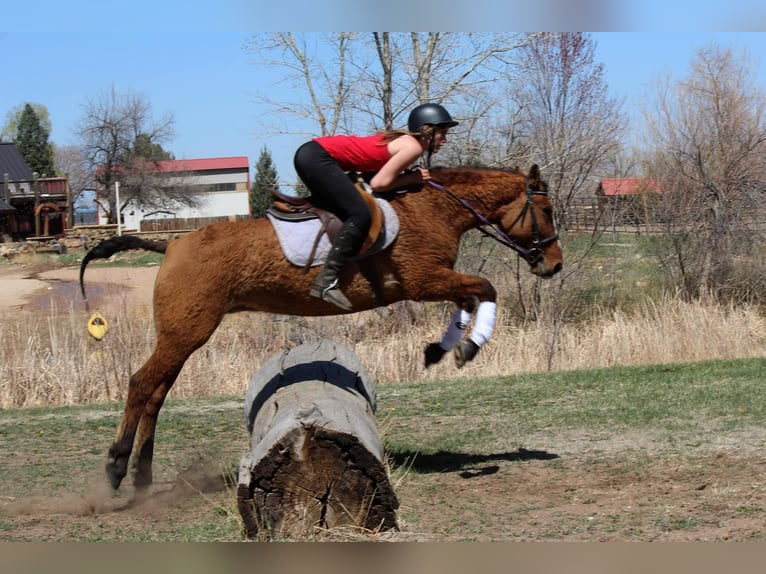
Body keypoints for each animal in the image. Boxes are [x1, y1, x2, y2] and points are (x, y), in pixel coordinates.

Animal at [79, 164, 563, 491]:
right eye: (545, 208)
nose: (555, 265)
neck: (433, 208)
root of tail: (173, 244)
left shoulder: (435, 281)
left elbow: (472, 298)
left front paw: (443, 349)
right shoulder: (424, 279)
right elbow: (487, 289)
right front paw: (466, 348)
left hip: (184, 335)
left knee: (157, 393)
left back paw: (142, 476)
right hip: (187, 332)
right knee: (142, 384)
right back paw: (117, 468)